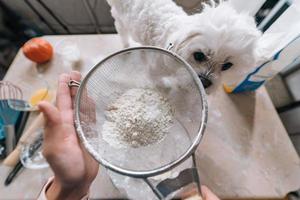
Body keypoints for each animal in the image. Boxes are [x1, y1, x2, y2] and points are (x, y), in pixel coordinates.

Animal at [108, 0, 270, 90]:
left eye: (227, 66)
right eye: (198, 55)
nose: (204, 82)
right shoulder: (156, 69)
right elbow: (157, 80)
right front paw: (165, 86)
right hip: (120, 21)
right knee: (123, 34)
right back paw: (127, 45)